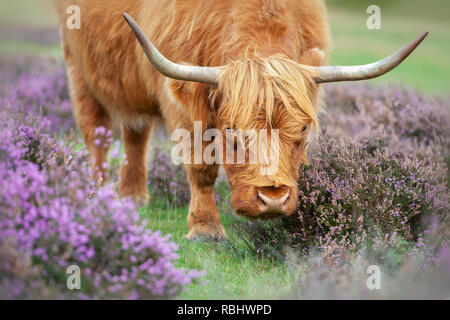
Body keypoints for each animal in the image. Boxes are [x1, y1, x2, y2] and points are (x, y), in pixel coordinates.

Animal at [52, 0, 426, 240]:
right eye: (231, 129)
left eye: (304, 128)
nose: (273, 198)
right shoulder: (183, 104)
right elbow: (201, 168)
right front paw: (205, 229)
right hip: (79, 69)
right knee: (97, 133)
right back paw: (97, 193)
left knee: (135, 132)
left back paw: (133, 195)